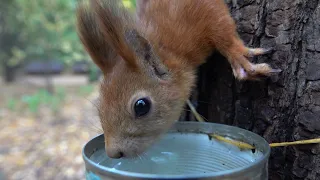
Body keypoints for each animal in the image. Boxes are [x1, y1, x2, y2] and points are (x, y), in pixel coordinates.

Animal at [75, 0, 280, 158]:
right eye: (99, 106)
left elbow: (223, 31)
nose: (113, 153)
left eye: (141, 106)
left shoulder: (200, 10)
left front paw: (238, 57)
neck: (168, 48)